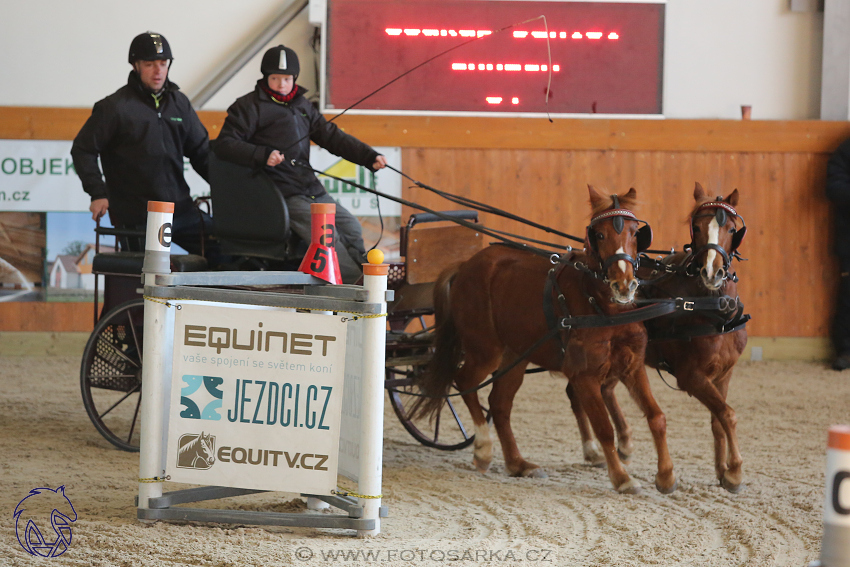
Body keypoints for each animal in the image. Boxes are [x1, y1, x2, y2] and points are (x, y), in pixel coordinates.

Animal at [410, 186, 676, 492]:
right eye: (599, 234)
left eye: (635, 232)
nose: (624, 284)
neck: (604, 309)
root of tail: (465, 264)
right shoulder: (584, 375)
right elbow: (604, 429)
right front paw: (622, 478)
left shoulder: (632, 366)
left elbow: (657, 417)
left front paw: (666, 475)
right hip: (485, 349)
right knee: (465, 382)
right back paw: (484, 449)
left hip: (515, 356)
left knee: (499, 404)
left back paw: (518, 464)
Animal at [568, 183, 744, 492]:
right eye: (696, 227)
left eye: (732, 229)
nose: (712, 272)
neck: (714, 308)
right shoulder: (691, 376)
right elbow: (728, 414)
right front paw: (734, 472)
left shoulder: (724, 373)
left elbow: (718, 420)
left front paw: (722, 470)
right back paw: (594, 449)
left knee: (604, 390)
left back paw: (623, 443)